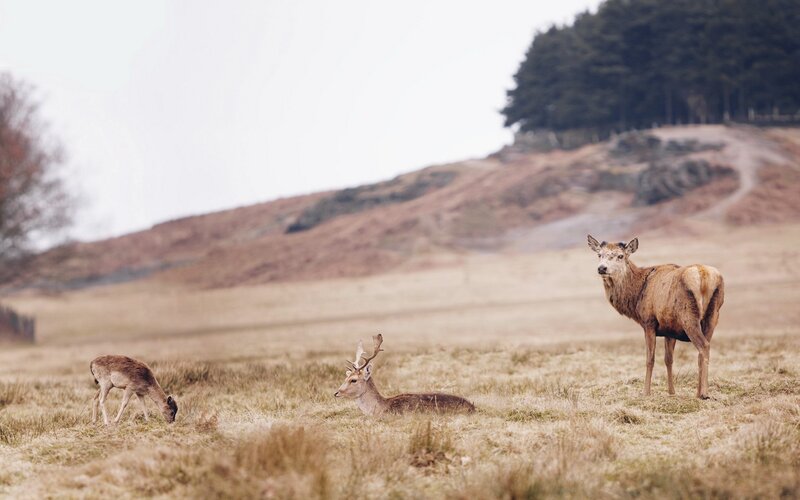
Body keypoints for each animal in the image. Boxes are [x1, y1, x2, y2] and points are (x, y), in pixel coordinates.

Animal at [587, 236, 724, 399]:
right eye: (599, 254)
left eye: (620, 256)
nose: (602, 268)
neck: (636, 296)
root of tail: (704, 276)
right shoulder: (670, 329)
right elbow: (668, 359)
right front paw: (671, 391)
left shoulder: (649, 322)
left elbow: (650, 359)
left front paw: (646, 392)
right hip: (713, 315)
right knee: (704, 348)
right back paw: (699, 392)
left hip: (688, 316)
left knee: (703, 346)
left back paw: (704, 393)